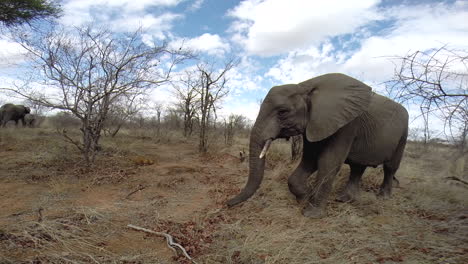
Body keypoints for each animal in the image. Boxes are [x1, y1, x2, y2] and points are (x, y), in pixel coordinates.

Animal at [229, 72, 408, 219]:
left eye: (282, 112)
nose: (227, 203)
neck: (305, 85)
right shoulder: (315, 122)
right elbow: (310, 159)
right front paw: (305, 197)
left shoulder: (347, 124)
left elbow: (328, 162)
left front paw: (312, 214)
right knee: (358, 167)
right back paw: (344, 200)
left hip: (403, 134)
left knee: (390, 167)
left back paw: (383, 197)